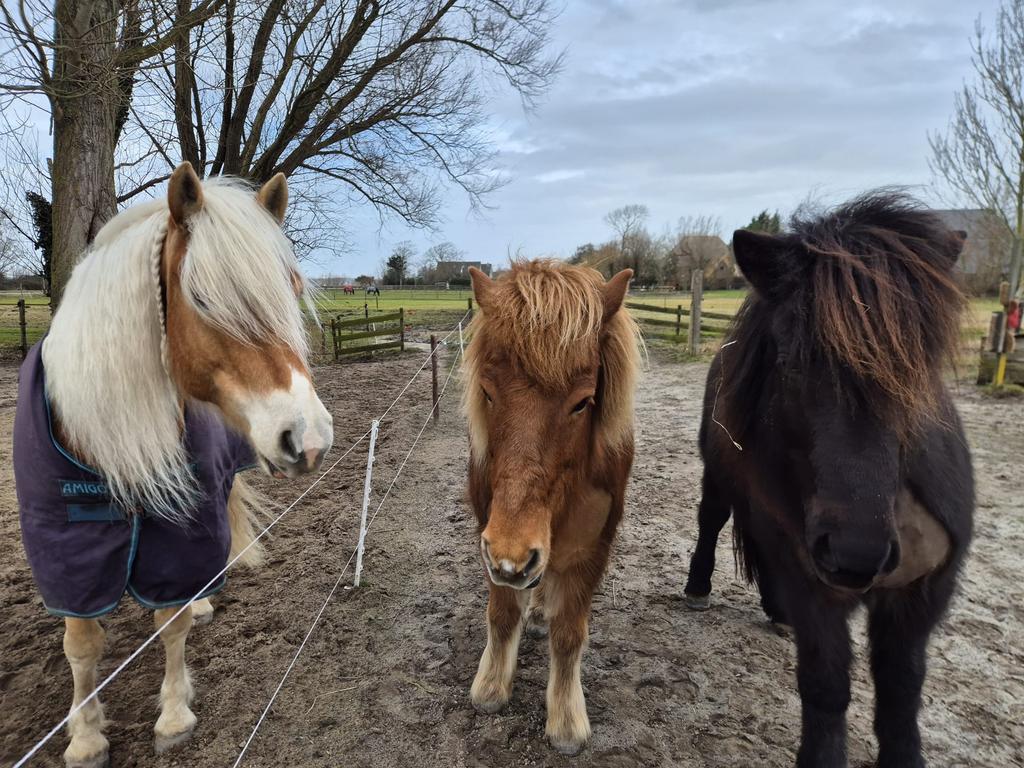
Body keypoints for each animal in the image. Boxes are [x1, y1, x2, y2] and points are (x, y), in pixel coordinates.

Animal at [13, 162, 334, 768]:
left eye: (293, 288)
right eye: (202, 298)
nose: (309, 438)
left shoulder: (183, 530)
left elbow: (172, 619)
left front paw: (173, 712)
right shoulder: (64, 548)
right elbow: (81, 643)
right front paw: (84, 735)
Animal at [462, 260, 640, 754]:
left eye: (583, 403)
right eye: (487, 392)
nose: (515, 555)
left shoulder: (591, 552)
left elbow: (569, 634)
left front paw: (566, 719)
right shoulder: (492, 540)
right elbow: (502, 614)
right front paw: (491, 686)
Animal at [682, 192, 973, 768]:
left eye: (918, 369)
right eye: (791, 363)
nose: (854, 554)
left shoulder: (924, 594)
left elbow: (902, 691)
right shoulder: (814, 587)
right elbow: (826, 686)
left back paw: (776, 612)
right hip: (721, 483)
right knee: (712, 522)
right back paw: (699, 588)